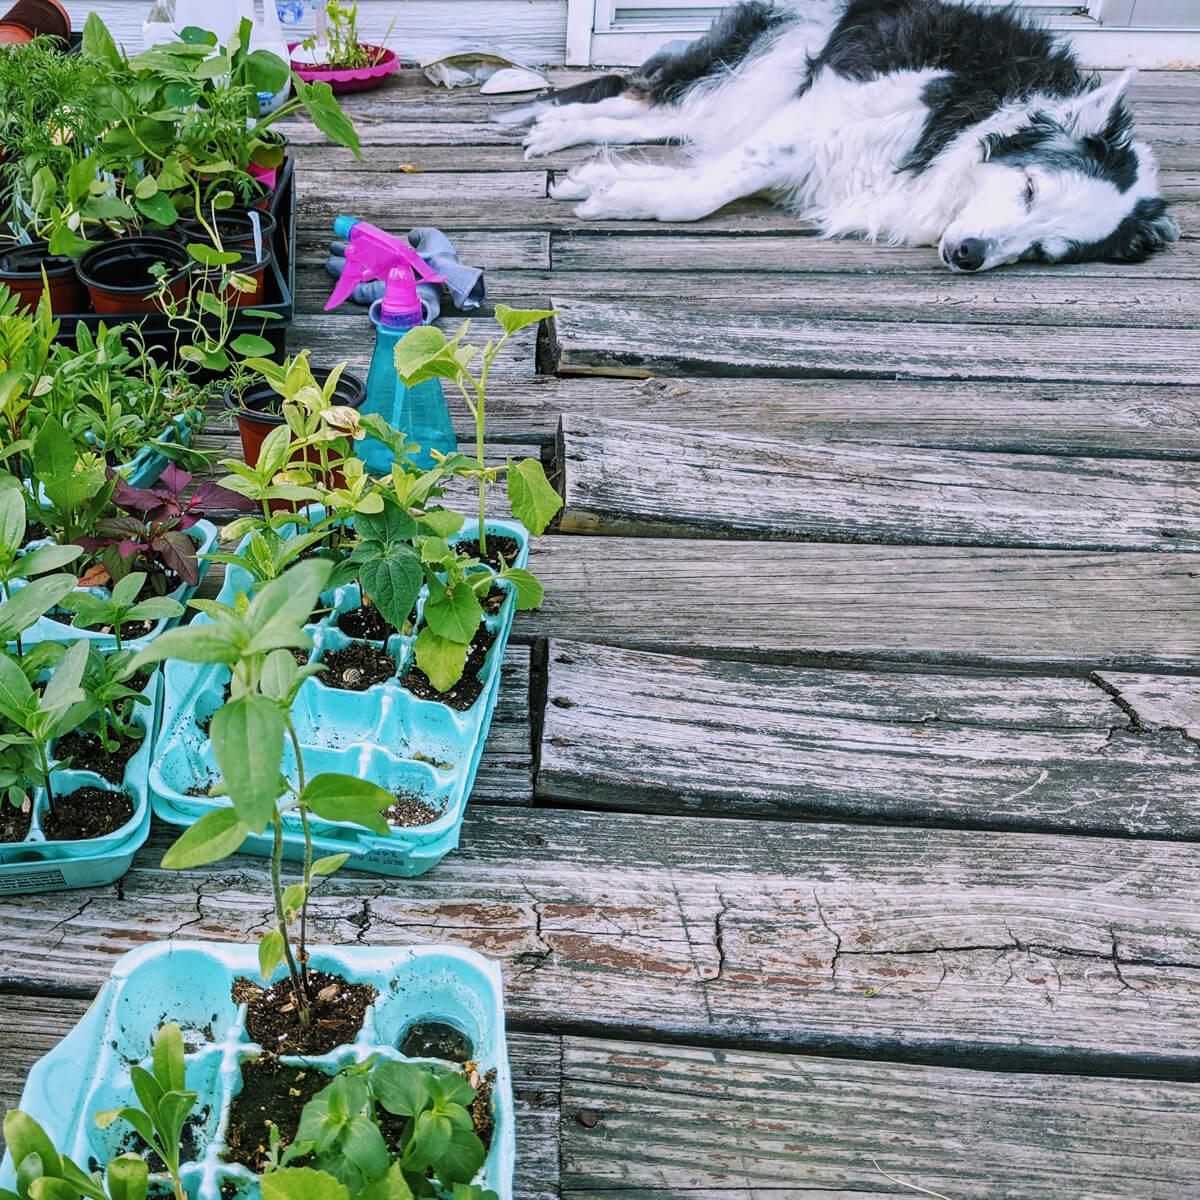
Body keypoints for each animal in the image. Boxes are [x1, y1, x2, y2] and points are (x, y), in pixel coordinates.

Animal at [499, 0, 1180, 272]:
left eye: (1045, 251)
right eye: (1031, 188)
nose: (968, 255)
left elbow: (716, 170)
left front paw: (611, 178)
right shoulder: (838, 99)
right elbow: (712, 187)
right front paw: (615, 191)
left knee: (670, 118)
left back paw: (558, 129)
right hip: (775, 62)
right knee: (654, 97)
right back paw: (552, 126)